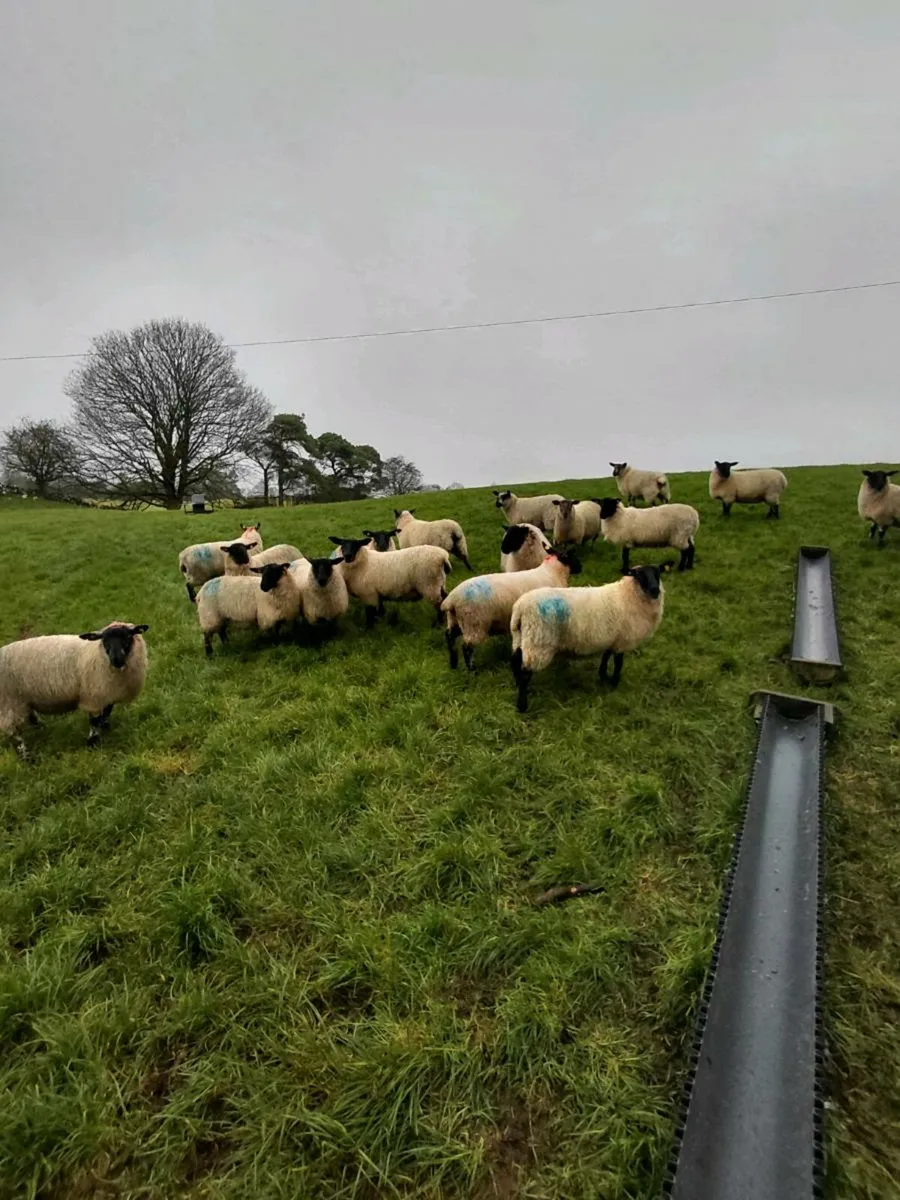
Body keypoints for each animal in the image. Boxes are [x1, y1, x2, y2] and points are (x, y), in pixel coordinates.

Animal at [0, 622, 149, 757]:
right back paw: (26, 756)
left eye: (128, 636)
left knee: (30, 716)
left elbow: (106, 713)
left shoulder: (107, 693)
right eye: (104, 641)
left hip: (22, 699)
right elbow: (94, 722)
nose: (116, 659)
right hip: (8, 701)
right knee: (15, 732)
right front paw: (92, 743)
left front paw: (106, 727)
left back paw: (41, 727)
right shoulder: (94, 696)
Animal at [441, 547, 582, 670]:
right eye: (572, 556)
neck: (553, 572)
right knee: (467, 648)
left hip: (456, 620)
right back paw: (472, 670)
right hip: (474, 624)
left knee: (449, 637)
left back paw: (453, 664)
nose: (581, 568)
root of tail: (451, 600)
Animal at [510, 564, 667, 712]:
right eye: (638, 575)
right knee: (525, 672)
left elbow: (605, 656)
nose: (655, 590)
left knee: (516, 659)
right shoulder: (622, 640)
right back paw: (522, 705)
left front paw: (603, 676)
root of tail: (519, 608)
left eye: (657, 573)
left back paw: (517, 683)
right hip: (538, 642)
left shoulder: (612, 638)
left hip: (522, 637)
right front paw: (614, 684)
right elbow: (618, 664)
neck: (626, 595)